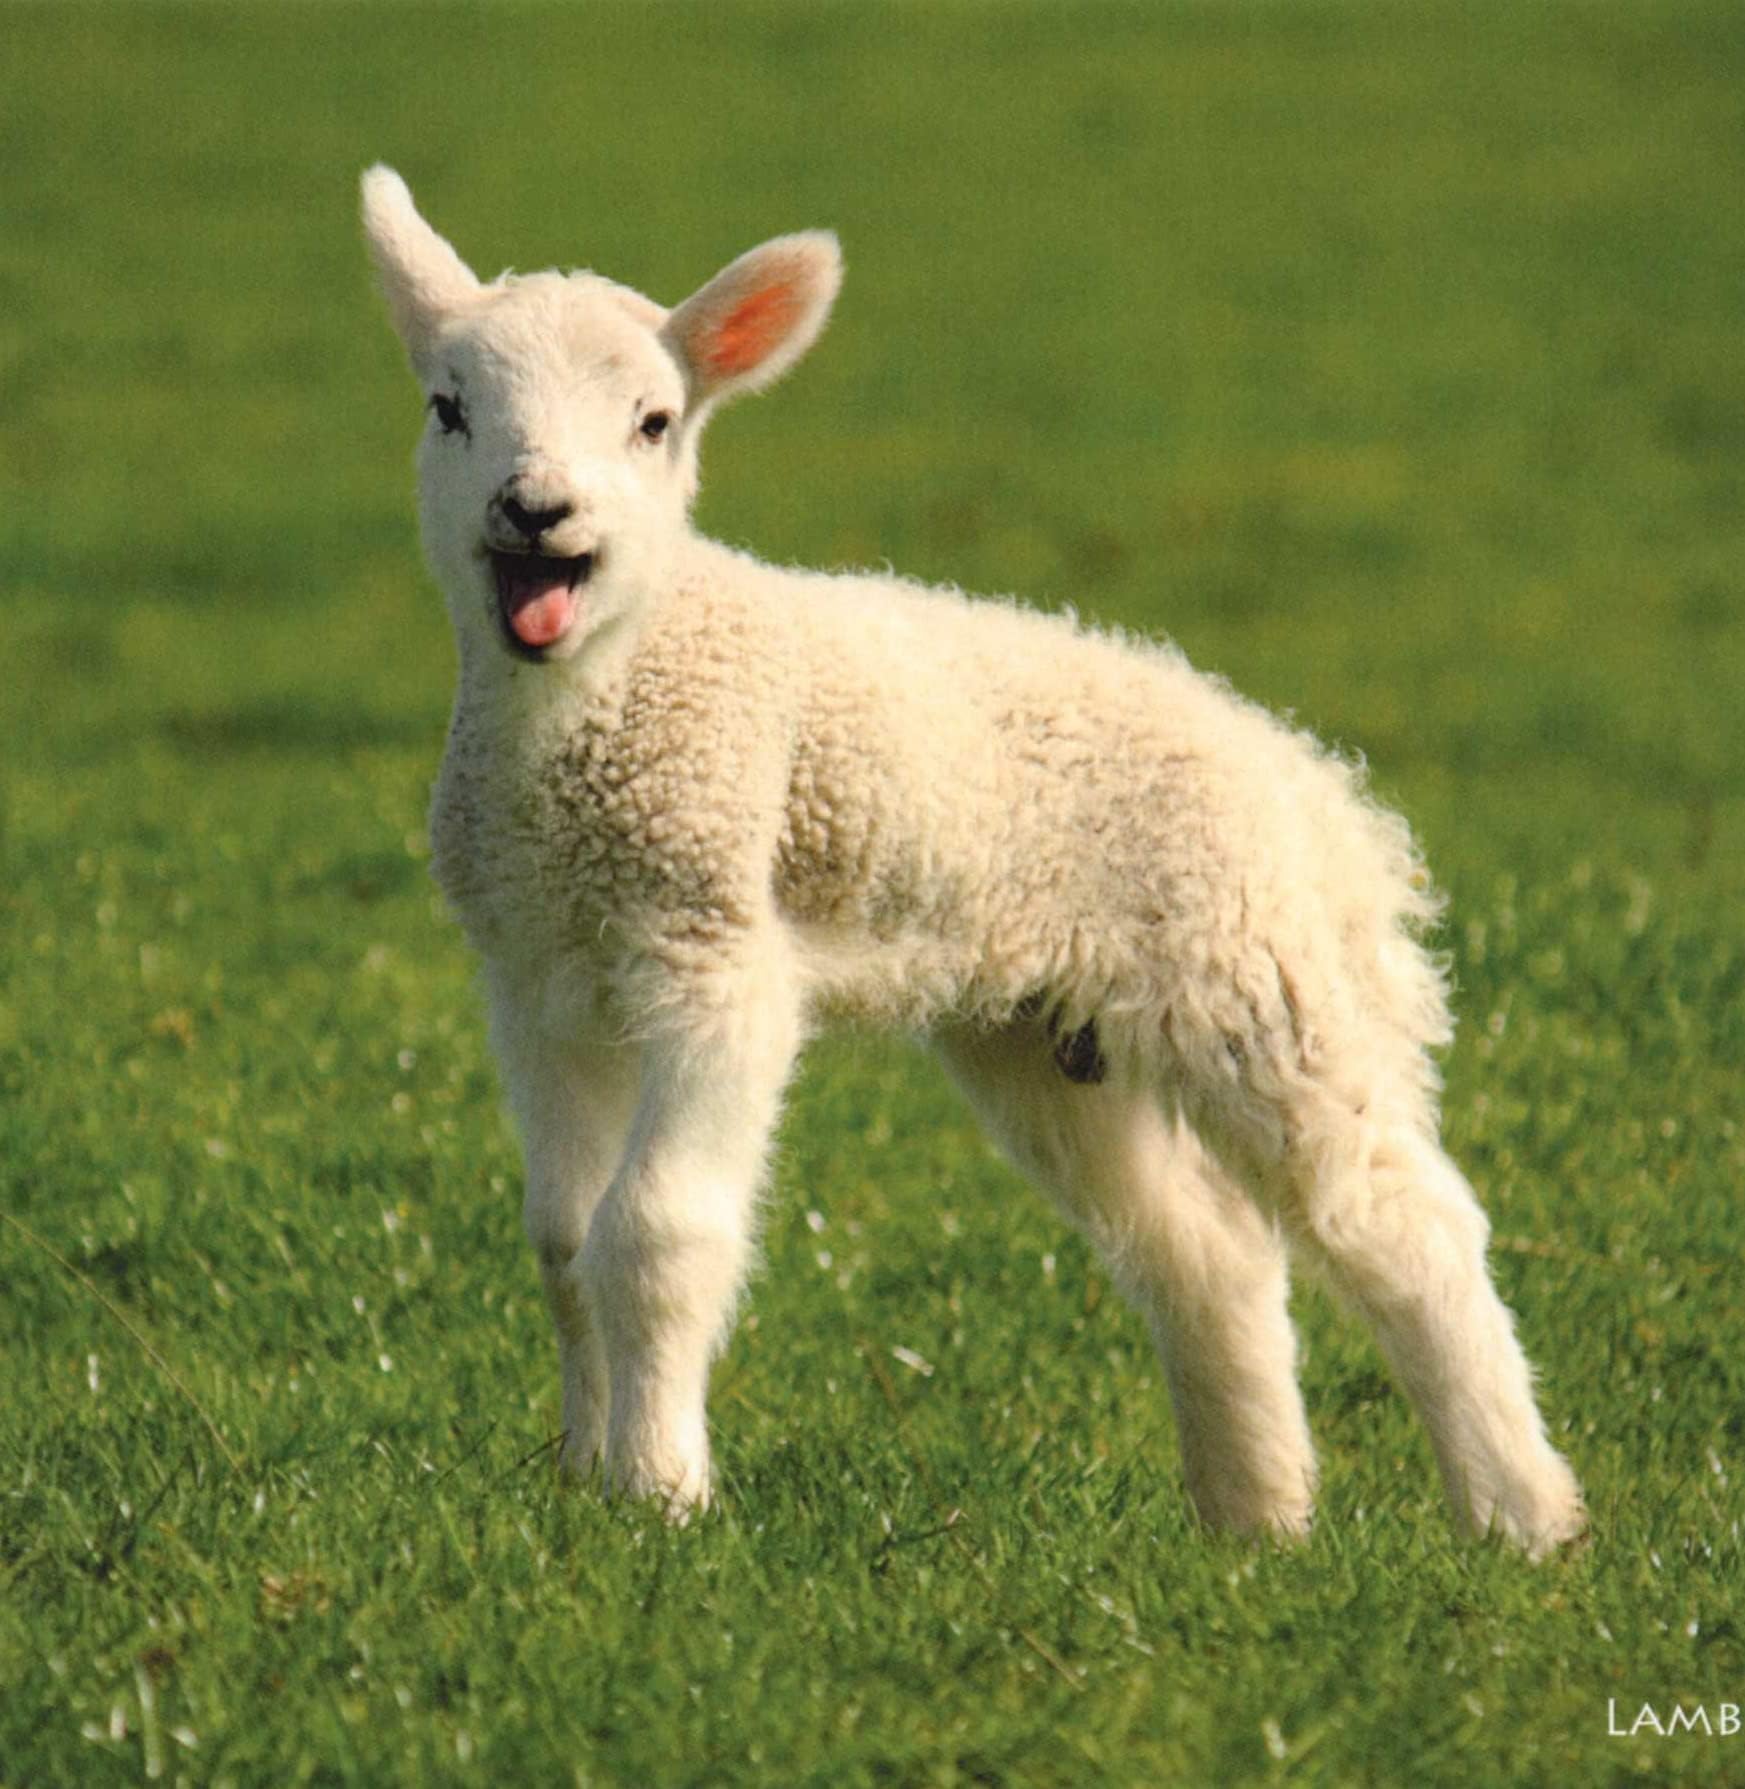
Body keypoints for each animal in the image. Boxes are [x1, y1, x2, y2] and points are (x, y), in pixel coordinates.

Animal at [359, 165, 1585, 1554]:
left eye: (654, 421)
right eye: (448, 408)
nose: (536, 511)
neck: (595, 715)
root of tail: (1308, 785)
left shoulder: (715, 949)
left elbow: (658, 1234)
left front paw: (659, 1490)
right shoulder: (534, 971)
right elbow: (563, 1243)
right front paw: (580, 1475)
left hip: (1252, 965)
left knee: (1397, 1218)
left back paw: (1521, 1514)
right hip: (1044, 1032)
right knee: (1206, 1250)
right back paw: (1254, 1518)